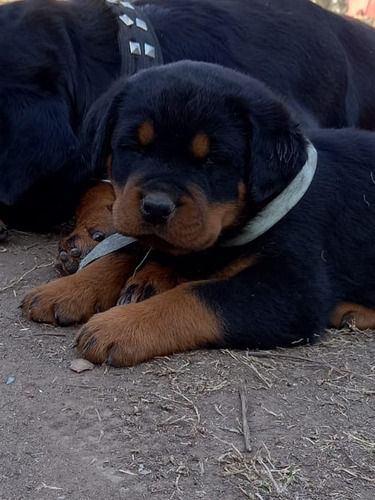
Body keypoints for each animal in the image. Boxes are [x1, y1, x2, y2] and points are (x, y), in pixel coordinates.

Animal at [19, 62, 375, 368]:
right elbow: (125, 249)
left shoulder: (293, 288)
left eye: (212, 161)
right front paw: (67, 288)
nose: (156, 207)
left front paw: (119, 326)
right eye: (134, 147)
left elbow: (196, 296)